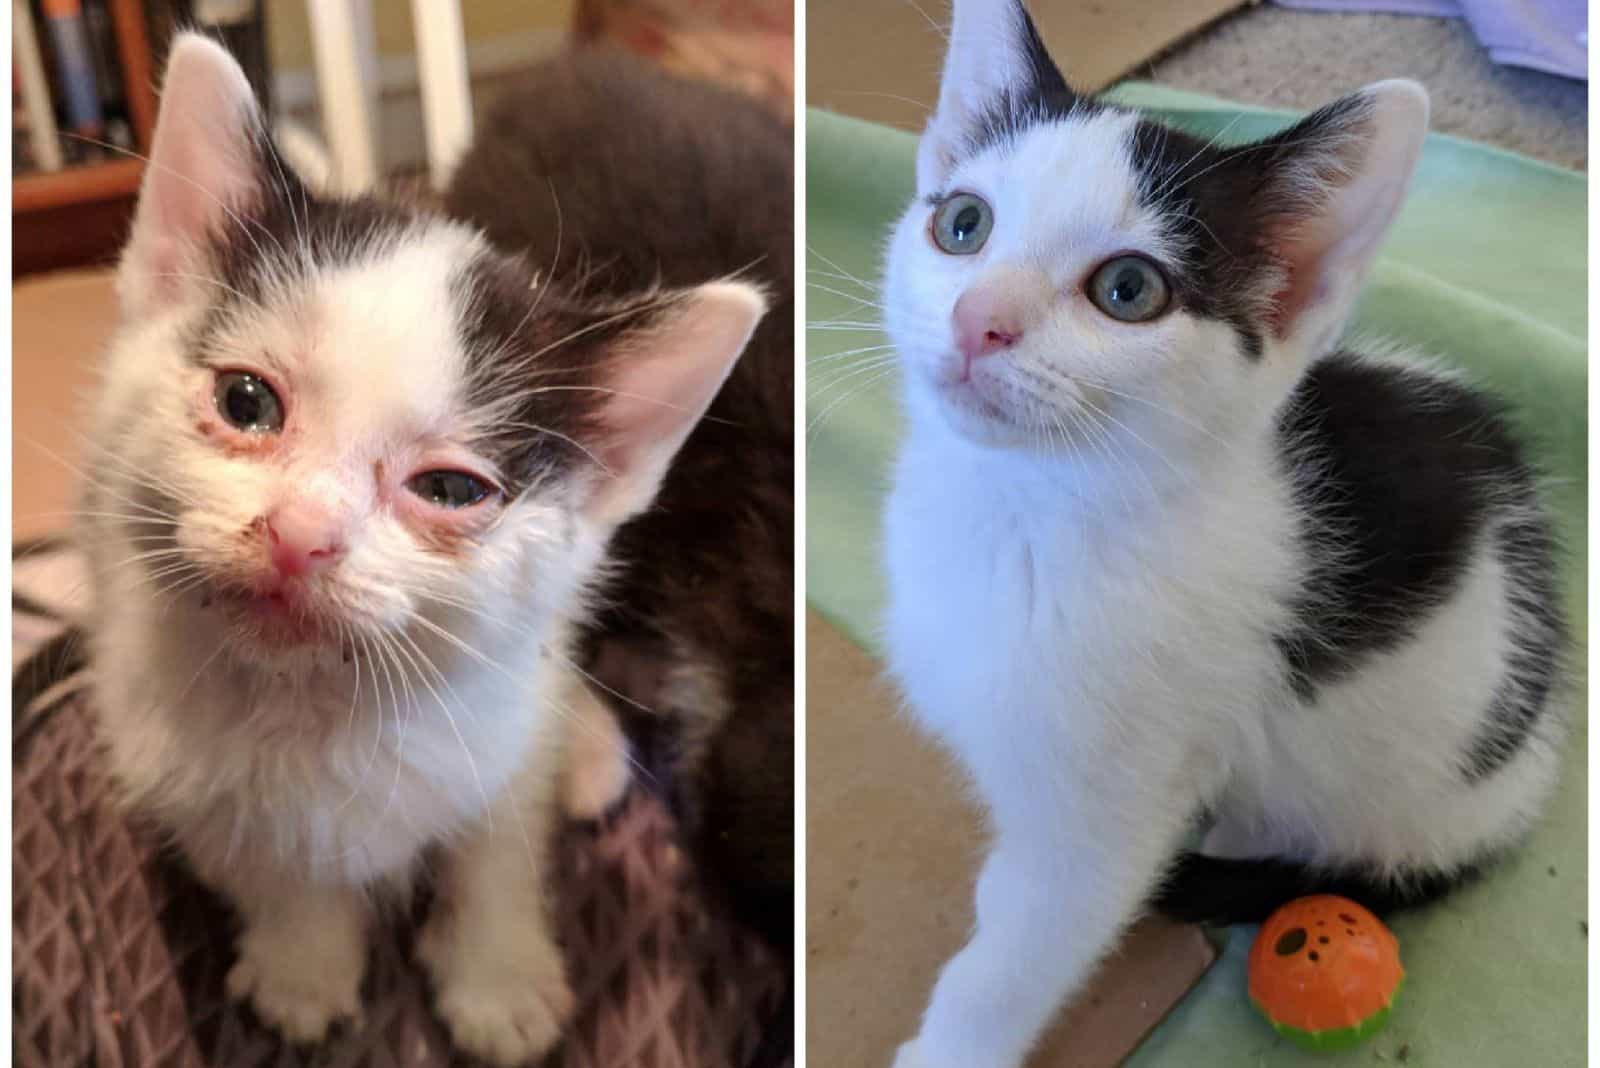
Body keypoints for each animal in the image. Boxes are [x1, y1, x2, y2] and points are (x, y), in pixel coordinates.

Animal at [82, 35, 768, 1068]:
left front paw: (497, 980)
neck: (318, 706)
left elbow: (498, 842)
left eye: (449, 490)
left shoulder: (499, 725)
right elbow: (270, 862)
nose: (300, 536)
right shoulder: (172, 756)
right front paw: (303, 964)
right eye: (246, 401)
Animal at [876, 2, 1561, 1068]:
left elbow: (1024, 948)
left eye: (1128, 290)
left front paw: (951, 1041)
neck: (1019, 508)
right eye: (963, 225)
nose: (979, 318)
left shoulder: (1108, 805)